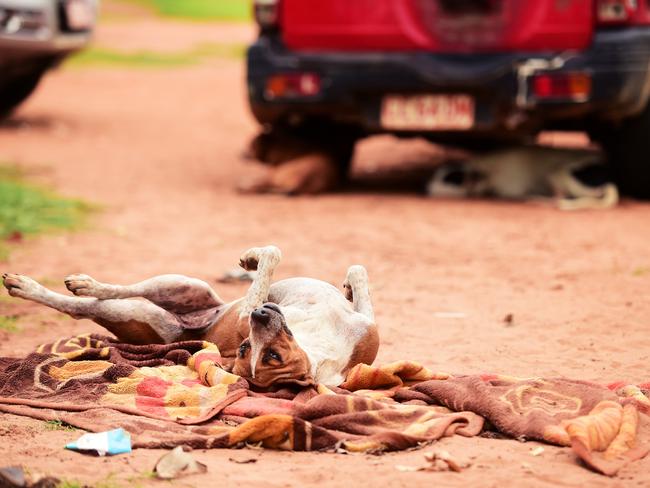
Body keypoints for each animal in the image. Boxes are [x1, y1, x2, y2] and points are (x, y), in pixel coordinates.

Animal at [2, 248, 378, 388]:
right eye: (245, 348)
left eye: (271, 356)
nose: (261, 314)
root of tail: (190, 329)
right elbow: (357, 270)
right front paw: (251, 258)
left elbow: (275, 256)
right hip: (180, 285)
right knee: (121, 290)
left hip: (145, 308)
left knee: (81, 306)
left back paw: (37, 286)